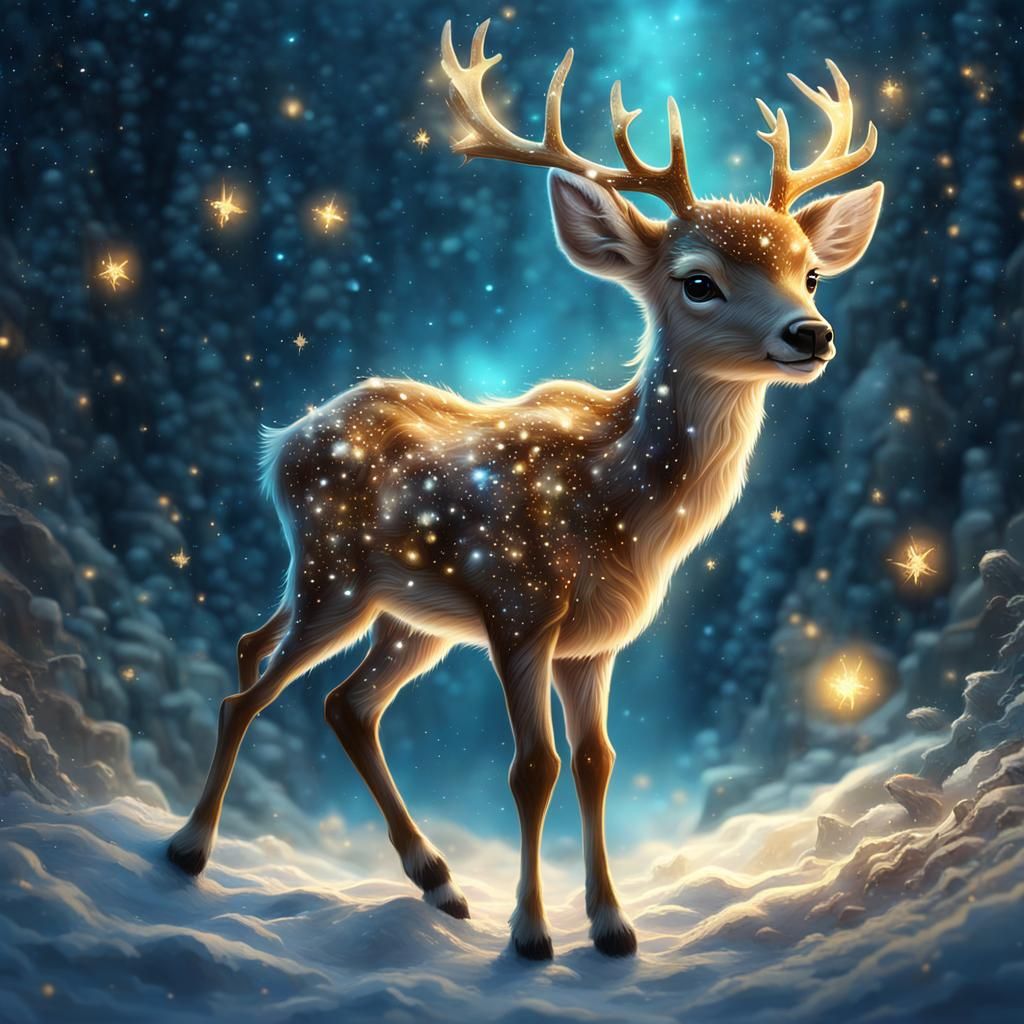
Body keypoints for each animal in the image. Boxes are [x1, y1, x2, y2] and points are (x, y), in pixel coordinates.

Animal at [167, 19, 883, 960]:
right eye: (698, 280)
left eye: (811, 272)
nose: (813, 333)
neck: (620, 510)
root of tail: (282, 440)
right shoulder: (519, 609)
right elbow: (532, 768)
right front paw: (533, 935)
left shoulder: (596, 643)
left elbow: (596, 764)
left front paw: (612, 926)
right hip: (335, 578)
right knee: (247, 691)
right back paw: (189, 848)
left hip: (409, 616)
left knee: (335, 697)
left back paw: (438, 882)